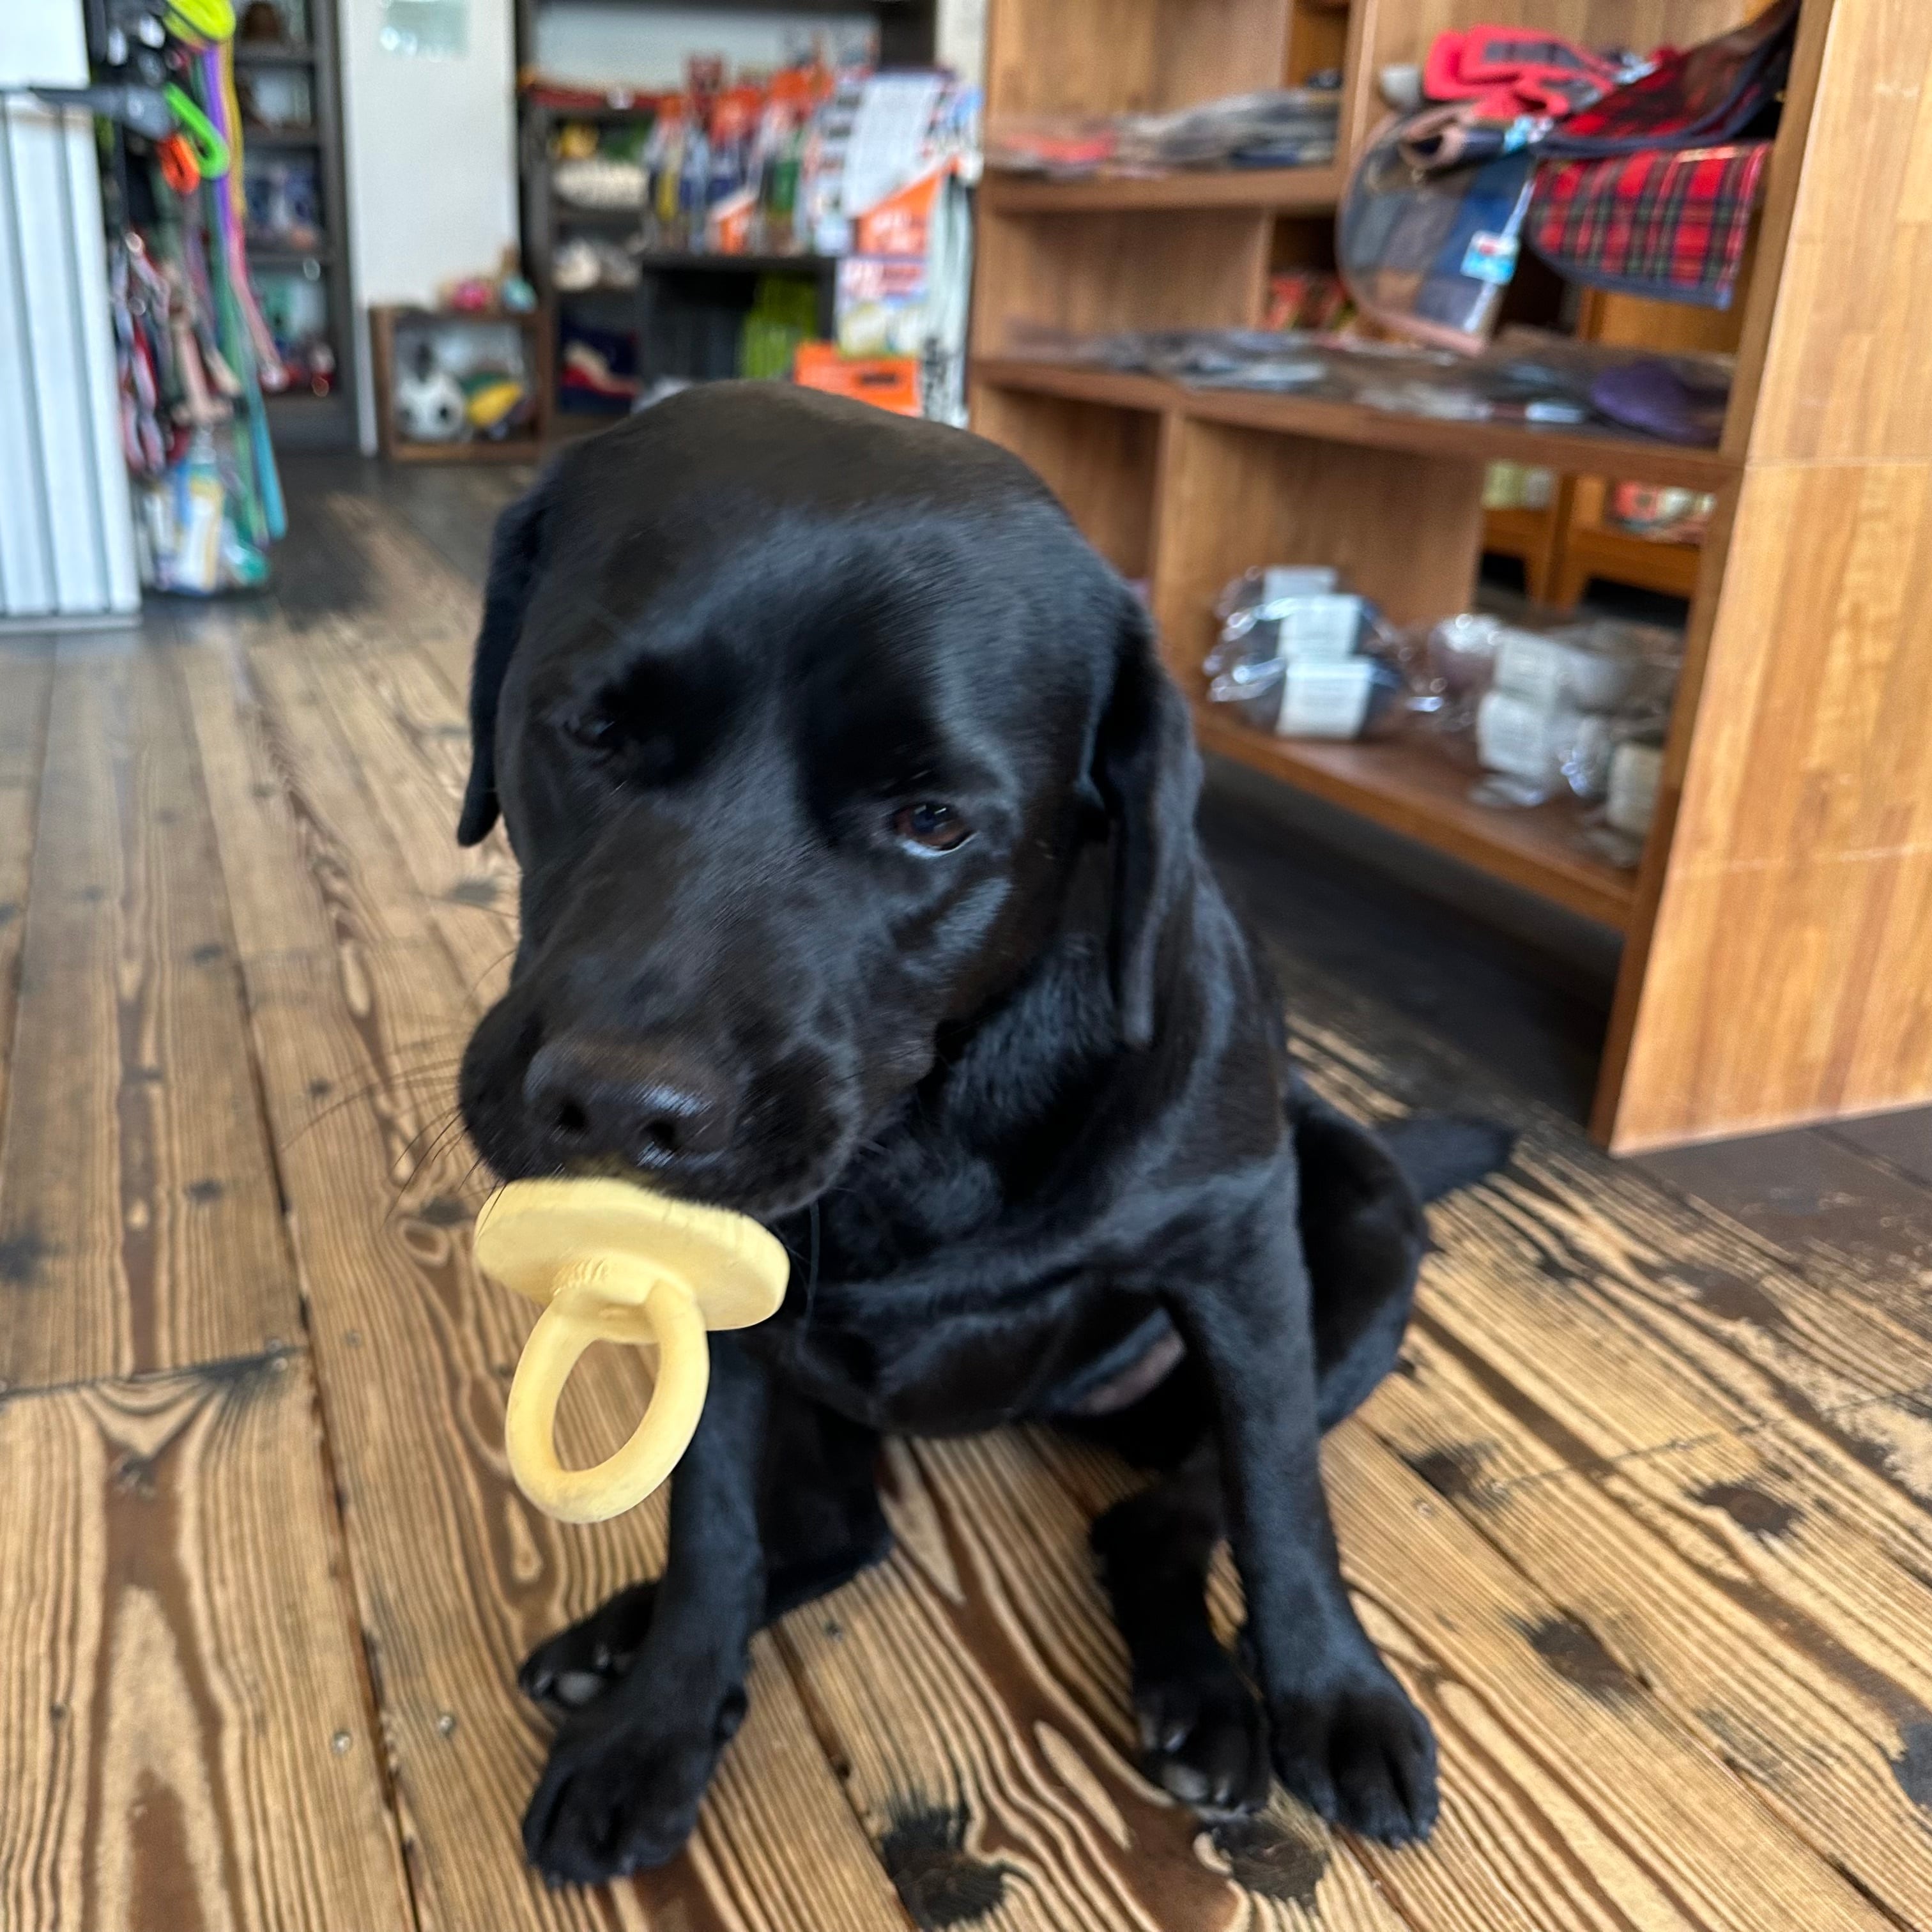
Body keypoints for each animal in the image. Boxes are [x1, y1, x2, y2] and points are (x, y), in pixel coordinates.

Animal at [455, 384, 1509, 1885]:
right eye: (591, 733)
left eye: (933, 821)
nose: (615, 1104)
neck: (926, 1132)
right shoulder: (721, 1317)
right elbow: (714, 1532)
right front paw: (656, 1723)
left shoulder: (1240, 1252)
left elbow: (1280, 1496)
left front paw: (1332, 1691)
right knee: (835, 1530)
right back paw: (625, 1639)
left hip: (1360, 1219)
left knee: (1159, 1513)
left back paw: (1204, 1698)